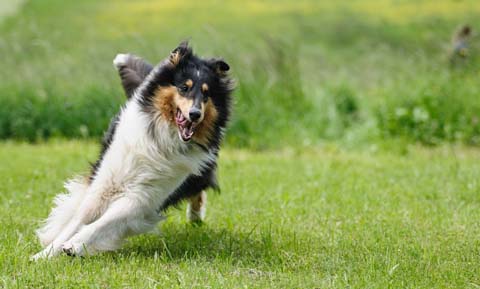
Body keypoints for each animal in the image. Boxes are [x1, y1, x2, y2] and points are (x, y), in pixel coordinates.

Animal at [31, 41, 233, 258]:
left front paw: (74, 245)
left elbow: (103, 222)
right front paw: (44, 254)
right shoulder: (106, 182)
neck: (162, 140)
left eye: (206, 93)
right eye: (184, 88)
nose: (195, 114)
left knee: (199, 188)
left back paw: (195, 217)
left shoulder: (143, 197)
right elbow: (81, 217)